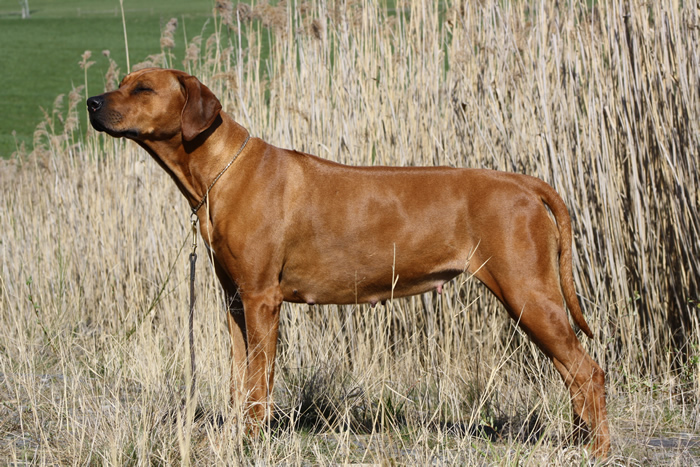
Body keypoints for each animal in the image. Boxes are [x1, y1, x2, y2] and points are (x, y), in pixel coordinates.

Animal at [87, 68, 610, 457]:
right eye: (123, 82)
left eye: (143, 88)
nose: (91, 102)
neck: (221, 170)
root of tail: (523, 183)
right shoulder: (235, 301)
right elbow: (240, 381)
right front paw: (237, 438)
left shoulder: (261, 300)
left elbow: (259, 384)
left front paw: (253, 442)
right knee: (573, 375)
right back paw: (578, 442)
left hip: (528, 293)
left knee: (588, 372)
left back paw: (598, 449)